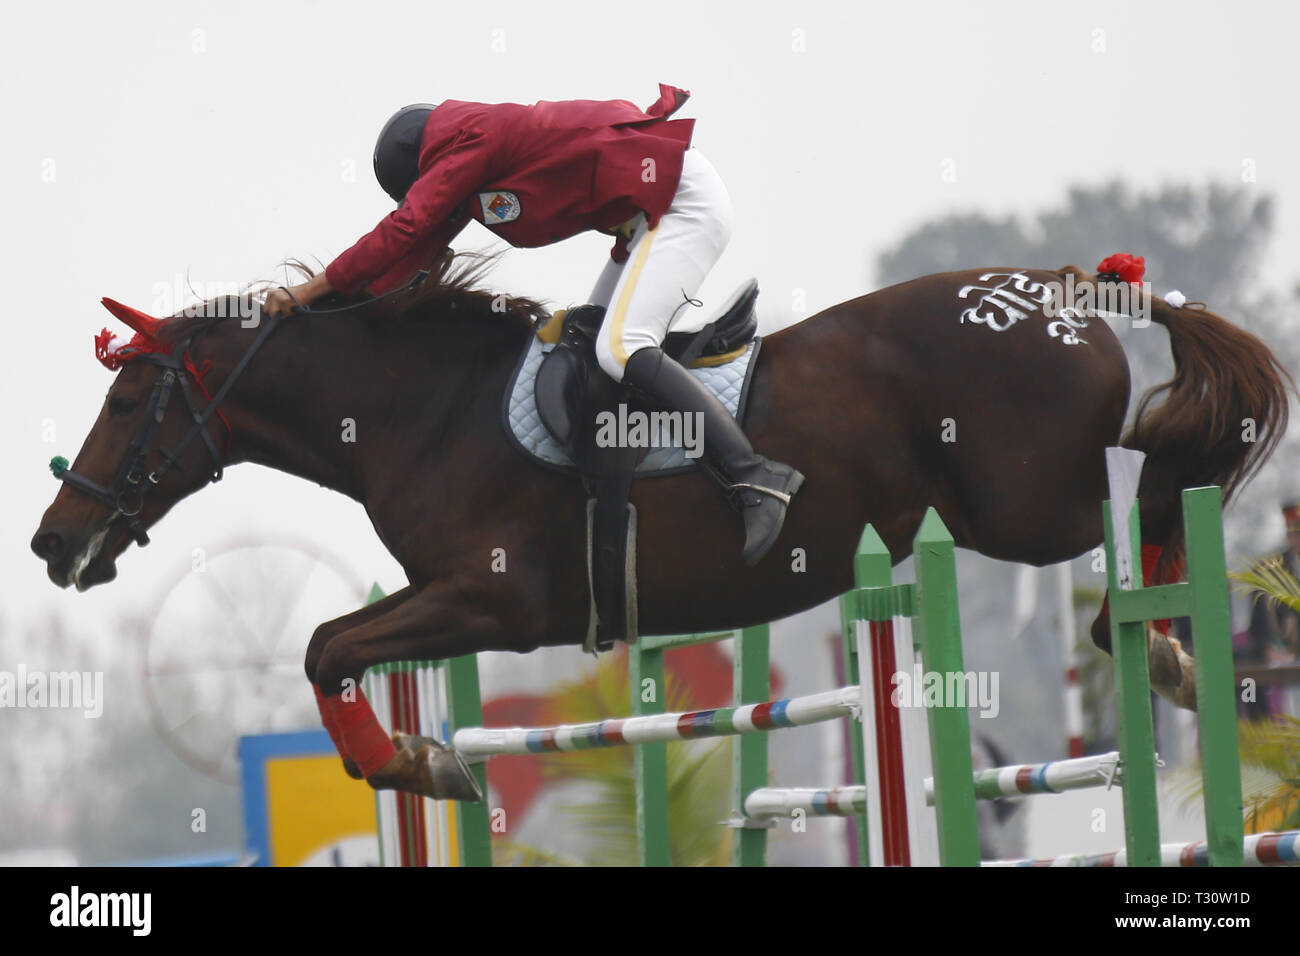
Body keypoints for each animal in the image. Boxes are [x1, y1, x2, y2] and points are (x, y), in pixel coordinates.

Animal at [30, 257, 1289, 796]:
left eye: (128, 398)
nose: (53, 541)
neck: (421, 406)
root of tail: (1065, 292)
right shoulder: (459, 603)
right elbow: (332, 645)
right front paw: (427, 760)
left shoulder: (494, 597)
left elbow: (322, 643)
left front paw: (416, 768)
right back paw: (1172, 647)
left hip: (1025, 507)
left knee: (1149, 490)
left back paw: (1169, 644)